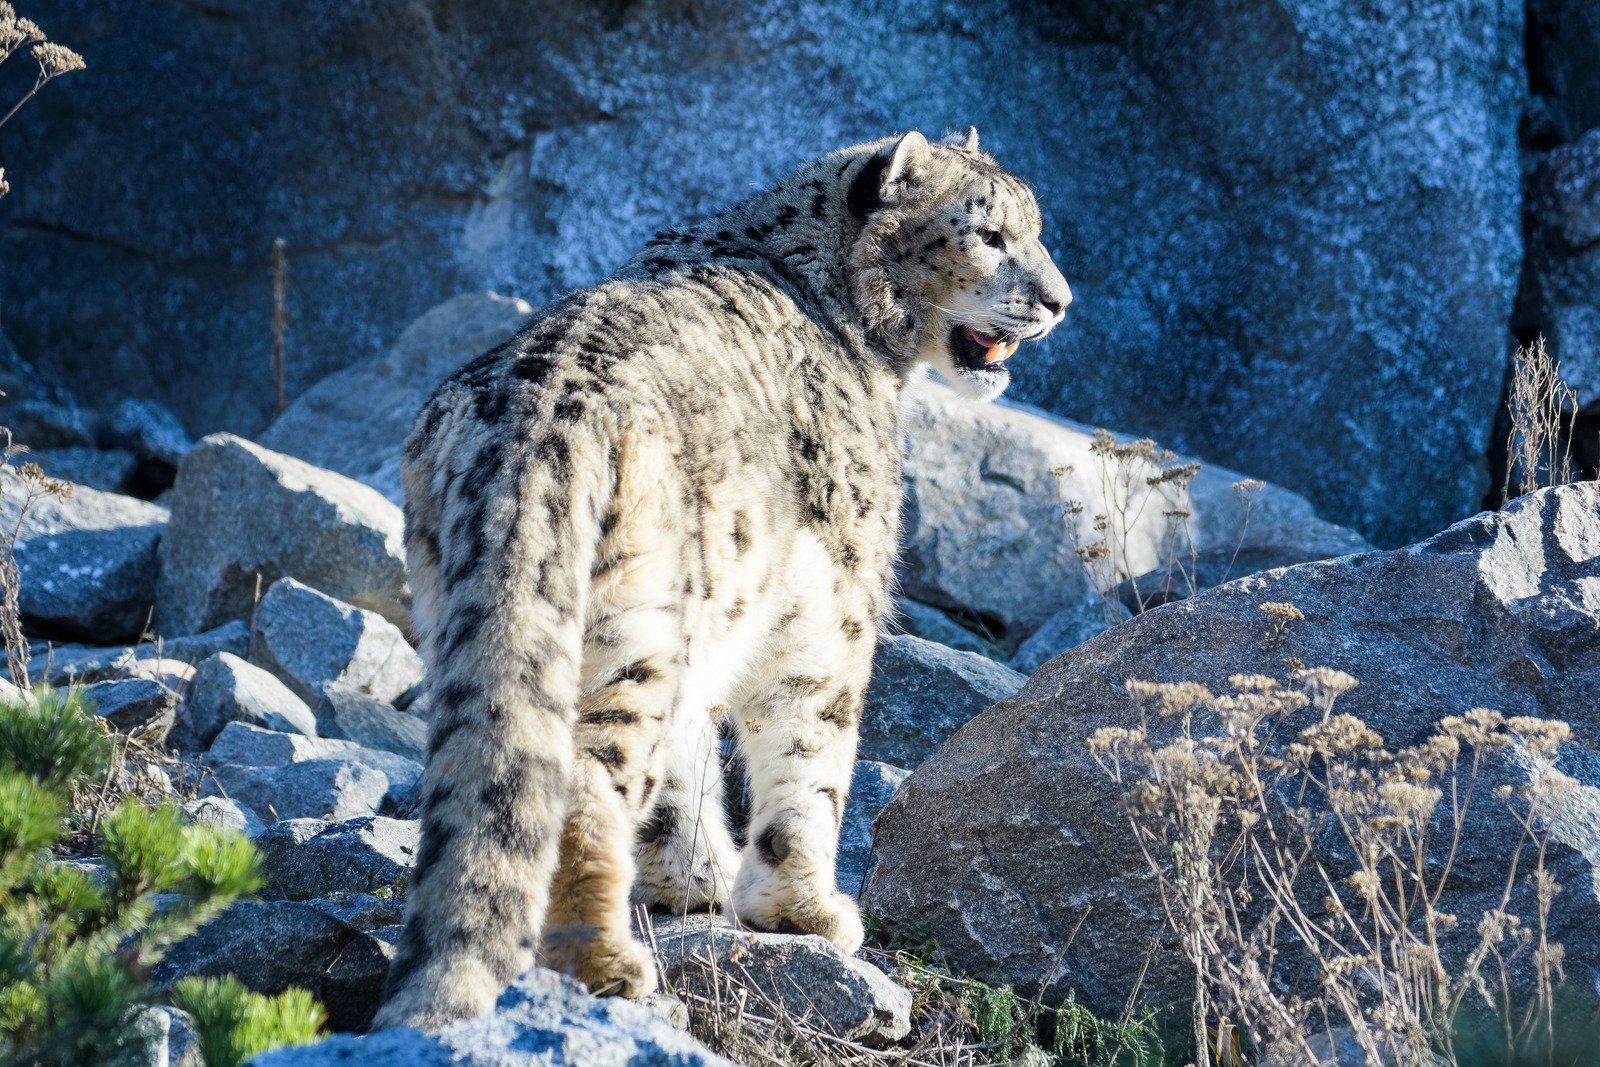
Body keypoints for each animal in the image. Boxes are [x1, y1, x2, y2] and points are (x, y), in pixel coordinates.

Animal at [376, 129, 1075, 1030]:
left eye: (1035, 229)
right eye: (989, 234)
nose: (1060, 301)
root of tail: (525, 436)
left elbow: (687, 765)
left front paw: (695, 880)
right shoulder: (835, 601)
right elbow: (812, 751)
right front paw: (805, 910)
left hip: (473, 608)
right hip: (632, 617)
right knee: (585, 781)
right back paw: (606, 966)